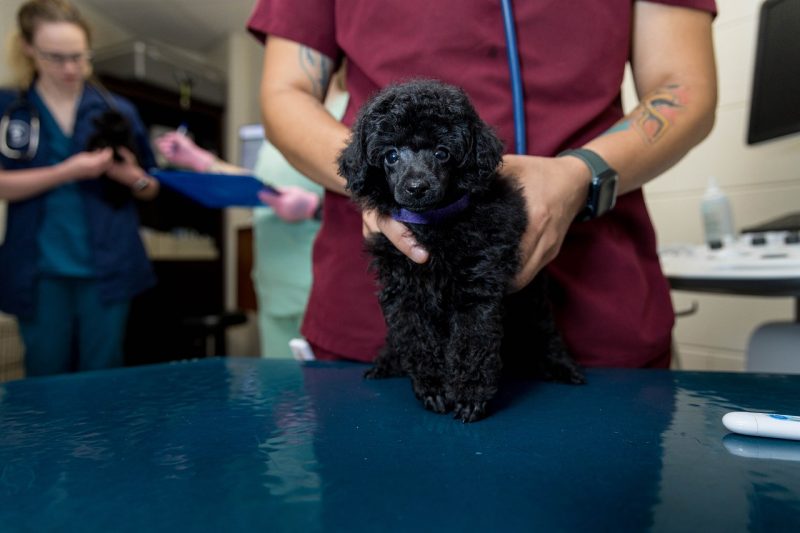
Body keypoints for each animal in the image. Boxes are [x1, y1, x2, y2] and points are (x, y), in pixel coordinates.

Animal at [340, 79, 584, 422]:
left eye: (442, 153)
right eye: (391, 155)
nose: (416, 187)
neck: (433, 222)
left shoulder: (477, 282)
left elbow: (473, 339)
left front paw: (470, 395)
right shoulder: (404, 292)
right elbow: (415, 338)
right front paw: (433, 387)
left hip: (532, 300)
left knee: (544, 331)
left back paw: (561, 366)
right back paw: (386, 363)